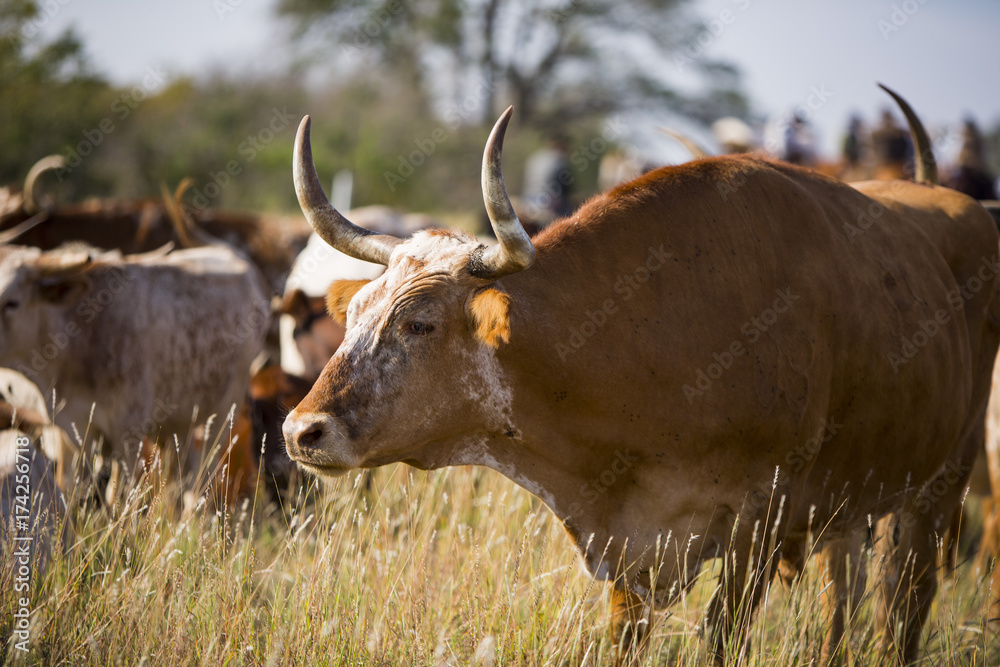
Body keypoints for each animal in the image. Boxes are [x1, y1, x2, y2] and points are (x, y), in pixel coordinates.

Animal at [282, 90, 1000, 667]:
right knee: (841, 602)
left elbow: (722, 638)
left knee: (903, 607)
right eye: (357, 313)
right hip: (848, 508)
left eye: (420, 323)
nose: (300, 430)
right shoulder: (630, 555)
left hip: (940, 485)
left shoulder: (758, 527)